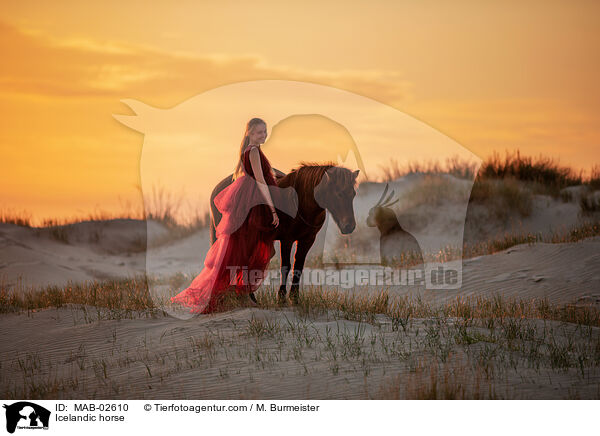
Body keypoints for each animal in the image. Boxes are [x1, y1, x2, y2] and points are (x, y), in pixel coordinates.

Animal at [209, 163, 358, 304]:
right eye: (338, 193)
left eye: (353, 194)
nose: (349, 226)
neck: (300, 201)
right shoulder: (287, 239)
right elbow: (285, 266)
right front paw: (281, 297)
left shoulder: (307, 240)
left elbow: (298, 266)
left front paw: (294, 297)